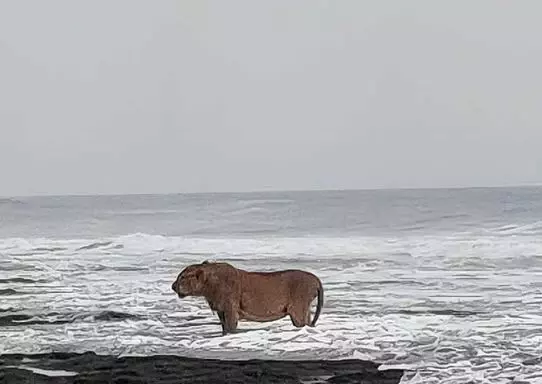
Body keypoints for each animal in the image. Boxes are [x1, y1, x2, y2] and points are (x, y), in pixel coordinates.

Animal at [171, 260, 324, 334]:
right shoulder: (221, 310)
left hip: (298, 309)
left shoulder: (230, 308)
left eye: (182, 277)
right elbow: (224, 328)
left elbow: (230, 328)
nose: (172, 286)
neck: (208, 286)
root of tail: (316, 279)